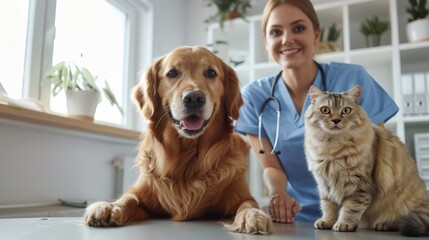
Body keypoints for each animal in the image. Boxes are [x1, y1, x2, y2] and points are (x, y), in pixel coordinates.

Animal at [302, 84, 426, 236]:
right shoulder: (325, 185)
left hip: (407, 205)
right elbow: (328, 206)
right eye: (325, 110)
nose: (336, 120)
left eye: (346, 110)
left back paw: (384, 224)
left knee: (405, 220)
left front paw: (344, 224)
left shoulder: (359, 186)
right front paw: (326, 221)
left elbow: (350, 209)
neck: (332, 148)